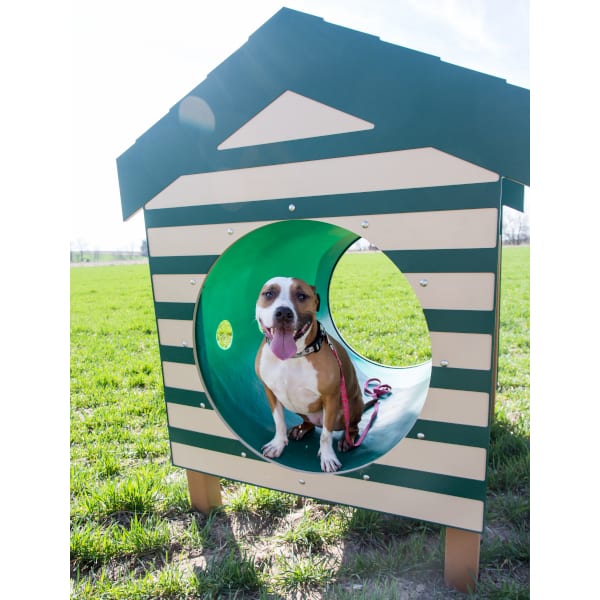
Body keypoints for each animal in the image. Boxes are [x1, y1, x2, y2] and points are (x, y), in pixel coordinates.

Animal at [254, 276, 366, 474]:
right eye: (269, 294)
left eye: (301, 296)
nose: (283, 312)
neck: (293, 356)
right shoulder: (270, 391)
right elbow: (278, 421)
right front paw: (278, 444)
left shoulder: (331, 398)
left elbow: (326, 435)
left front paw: (328, 457)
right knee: (310, 423)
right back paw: (301, 428)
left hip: (349, 409)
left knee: (352, 426)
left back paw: (348, 439)